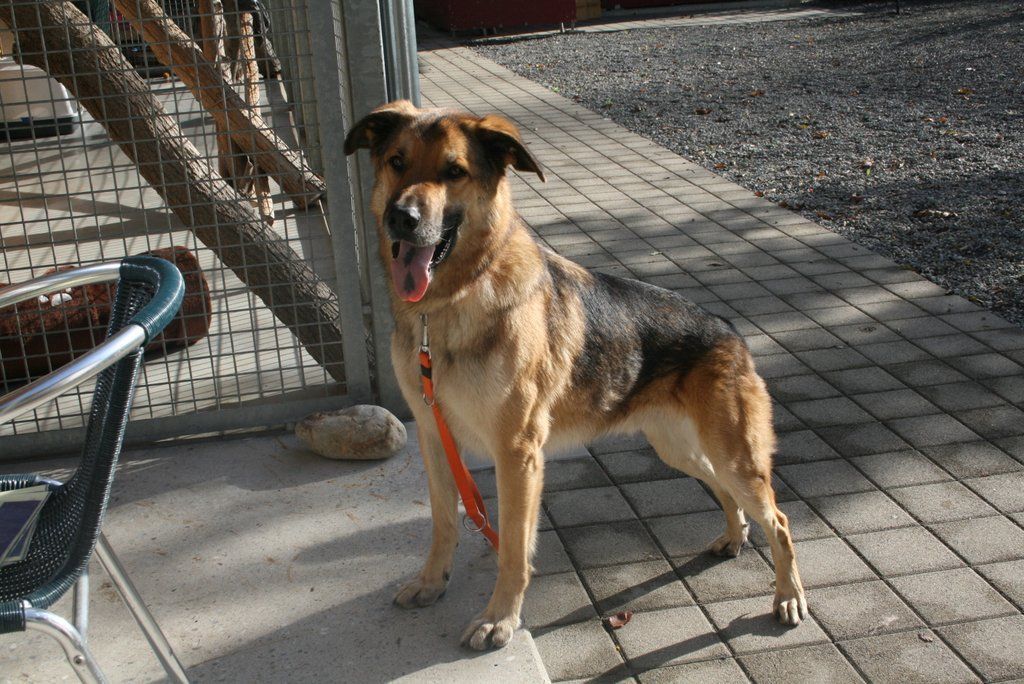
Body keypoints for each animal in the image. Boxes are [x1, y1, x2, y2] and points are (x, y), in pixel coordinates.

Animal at [344, 100, 807, 651]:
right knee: (728, 493)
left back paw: (788, 596)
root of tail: (729, 329)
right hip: (682, 450)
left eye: (454, 171)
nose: (401, 218)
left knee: (779, 518)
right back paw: (735, 538)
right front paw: (432, 583)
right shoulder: (436, 442)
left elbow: (513, 549)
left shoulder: (517, 455)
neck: (447, 308)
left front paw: (500, 618)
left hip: (733, 457)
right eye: (397, 162)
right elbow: (443, 525)